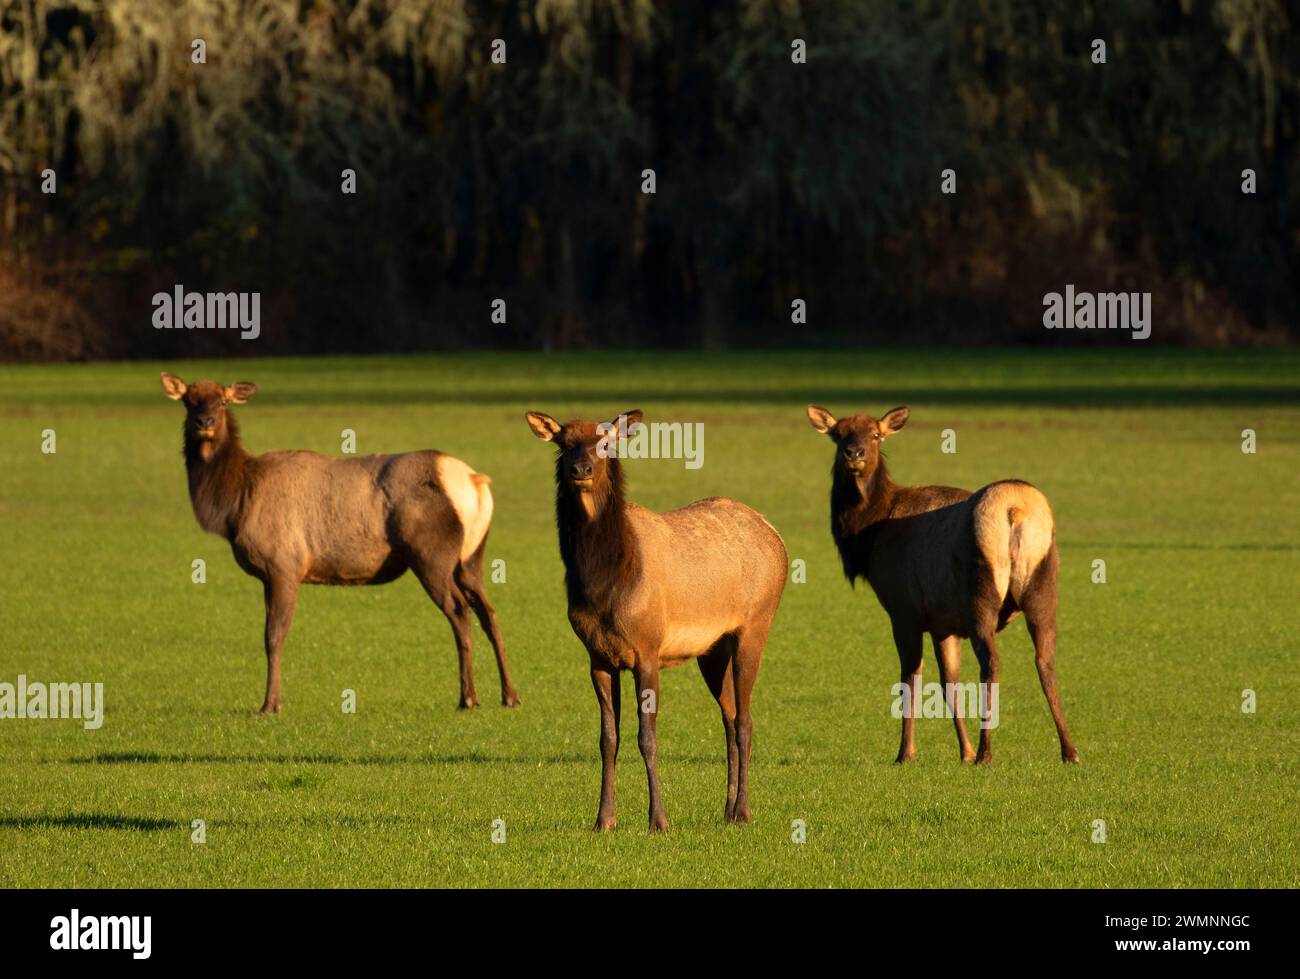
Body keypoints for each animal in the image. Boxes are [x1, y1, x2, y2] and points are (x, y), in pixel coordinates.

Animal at [159, 372, 520, 714]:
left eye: (222, 401)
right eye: (190, 401)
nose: (204, 422)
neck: (237, 500)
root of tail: (475, 482)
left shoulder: (283, 565)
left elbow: (273, 636)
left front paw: (270, 705)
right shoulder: (270, 575)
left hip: (432, 556)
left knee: (460, 612)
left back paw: (468, 698)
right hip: (471, 558)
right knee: (488, 613)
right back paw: (510, 695)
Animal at [525, 409, 788, 832]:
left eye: (605, 442)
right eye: (564, 442)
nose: (579, 469)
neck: (606, 584)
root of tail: (775, 536)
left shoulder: (647, 649)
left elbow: (646, 737)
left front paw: (659, 820)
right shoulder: (598, 657)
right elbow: (608, 739)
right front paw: (604, 820)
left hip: (756, 625)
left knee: (746, 721)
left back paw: (745, 811)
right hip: (713, 649)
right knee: (730, 716)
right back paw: (728, 810)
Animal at [805, 404, 1079, 766]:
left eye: (876, 435)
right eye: (839, 435)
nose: (855, 453)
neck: (867, 536)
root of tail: (1014, 508)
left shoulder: (904, 611)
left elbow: (910, 679)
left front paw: (906, 753)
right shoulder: (943, 623)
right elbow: (950, 682)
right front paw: (963, 751)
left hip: (981, 595)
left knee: (991, 664)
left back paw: (986, 753)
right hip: (1042, 586)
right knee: (1045, 661)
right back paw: (1069, 750)